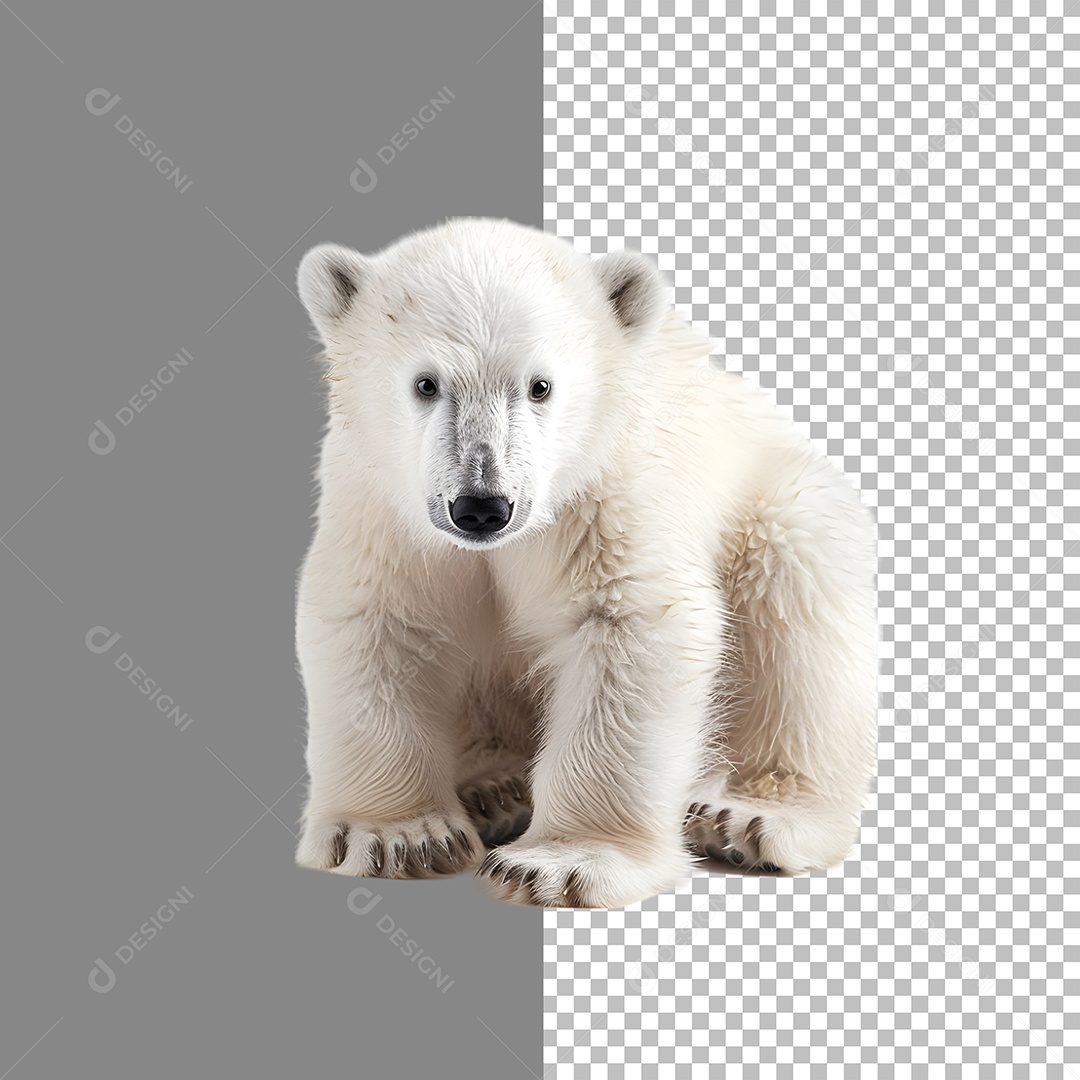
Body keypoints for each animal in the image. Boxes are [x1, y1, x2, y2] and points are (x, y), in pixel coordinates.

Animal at [293, 217, 877, 909]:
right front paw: (396, 838)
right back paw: (495, 788)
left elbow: (629, 623)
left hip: (773, 503)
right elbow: (378, 619)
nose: (482, 506)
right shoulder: (381, 503)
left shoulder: (608, 491)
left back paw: (746, 818)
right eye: (425, 383)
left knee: (794, 597)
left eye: (539, 386)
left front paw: (558, 863)